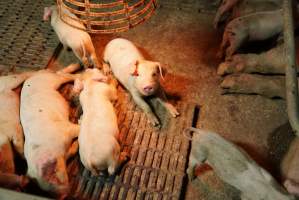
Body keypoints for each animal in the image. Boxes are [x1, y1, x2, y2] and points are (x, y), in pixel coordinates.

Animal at [20, 69, 80, 198]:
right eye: (46, 191)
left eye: (52, 175)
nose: (63, 196)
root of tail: (35, 74)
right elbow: (73, 151)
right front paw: (77, 144)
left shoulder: (65, 129)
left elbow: (78, 128)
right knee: (60, 72)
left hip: (51, 80)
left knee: (63, 75)